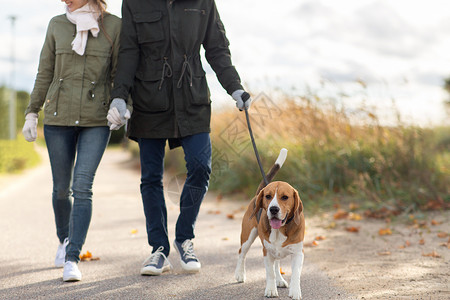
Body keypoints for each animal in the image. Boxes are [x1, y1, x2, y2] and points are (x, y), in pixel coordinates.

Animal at [234, 149, 304, 298]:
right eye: (268, 196)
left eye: (285, 197)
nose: (273, 209)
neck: (280, 229)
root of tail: (257, 194)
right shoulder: (266, 252)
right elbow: (270, 273)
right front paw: (271, 290)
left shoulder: (298, 253)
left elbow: (295, 274)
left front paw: (295, 292)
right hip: (248, 237)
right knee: (242, 253)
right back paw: (240, 274)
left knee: (277, 264)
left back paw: (280, 280)